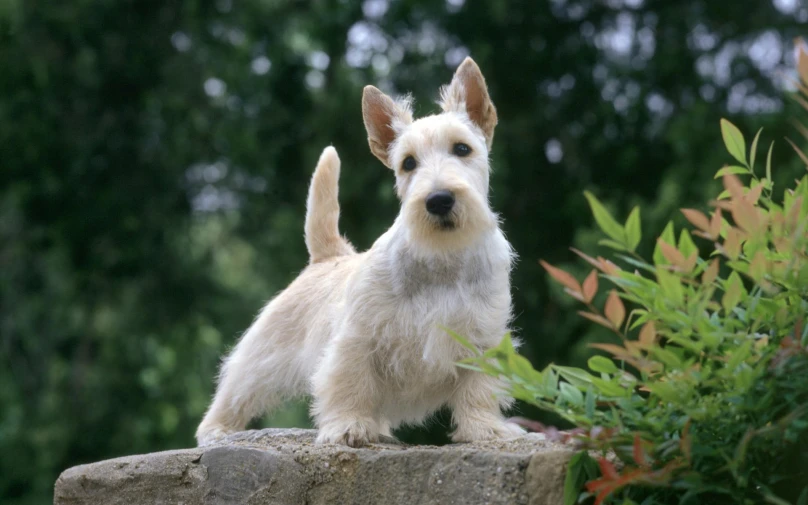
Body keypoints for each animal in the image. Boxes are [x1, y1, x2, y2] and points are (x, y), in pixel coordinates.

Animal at [196, 57, 524, 446]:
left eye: (462, 149)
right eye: (408, 163)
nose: (438, 200)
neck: (442, 259)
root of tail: (328, 255)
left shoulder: (483, 340)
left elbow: (479, 390)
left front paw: (485, 429)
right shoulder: (357, 338)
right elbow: (349, 382)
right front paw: (349, 426)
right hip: (262, 356)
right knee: (235, 388)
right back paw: (217, 429)